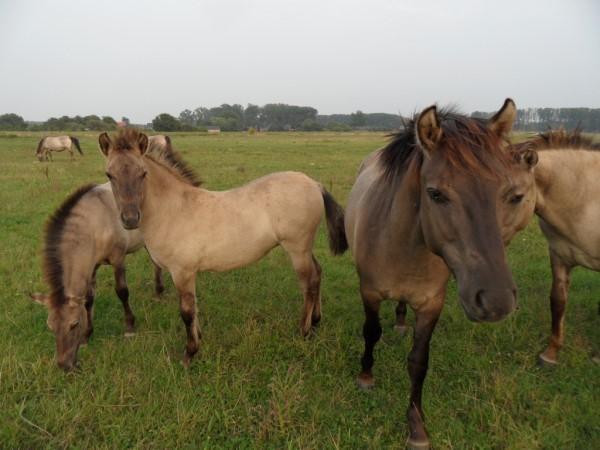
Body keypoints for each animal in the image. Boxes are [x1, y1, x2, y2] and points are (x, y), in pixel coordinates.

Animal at [98, 128, 346, 368]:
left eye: (143, 173)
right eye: (109, 175)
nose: (130, 219)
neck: (174, 210)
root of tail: (314, 184)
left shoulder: (182, 272)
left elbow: (187, 312)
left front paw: (189, 354)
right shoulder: (188, 273)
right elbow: (195, 308)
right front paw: (198, 340)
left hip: (297, 249)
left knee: (309, 284)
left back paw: (304, 331)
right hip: (305, 248)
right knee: (318, 273)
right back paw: (316, 322)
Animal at [338, 99, 540, 450]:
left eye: (510, 195)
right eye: (435, 194)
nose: (496, 300)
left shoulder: (432, 303)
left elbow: (419, 361)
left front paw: (416, 427)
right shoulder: (370, 292)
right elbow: (371, 333)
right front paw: (365, 377)